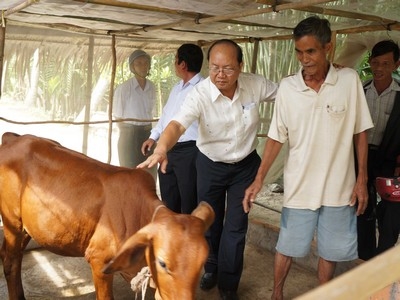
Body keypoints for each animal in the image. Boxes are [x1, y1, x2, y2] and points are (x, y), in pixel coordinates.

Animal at [0, 133, 214, 300]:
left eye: (202, 261)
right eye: (163, 263)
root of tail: (12, 138)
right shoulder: (99, 261)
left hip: (26, 227)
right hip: (12, 222)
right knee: (11, 262)